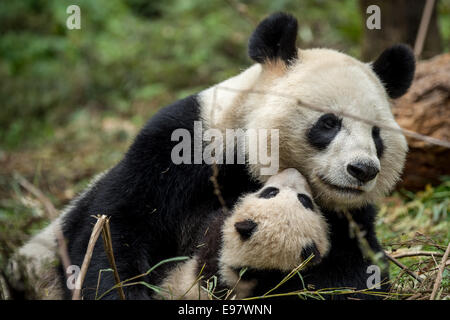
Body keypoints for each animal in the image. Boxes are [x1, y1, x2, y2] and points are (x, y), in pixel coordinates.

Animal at [16, 11, 414, 298]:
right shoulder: (178, 147)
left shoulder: (352, 217)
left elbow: (358, 273)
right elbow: (116, 229)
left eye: (377, 135)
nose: (363, 170)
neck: (247, 161)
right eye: (328, 123)